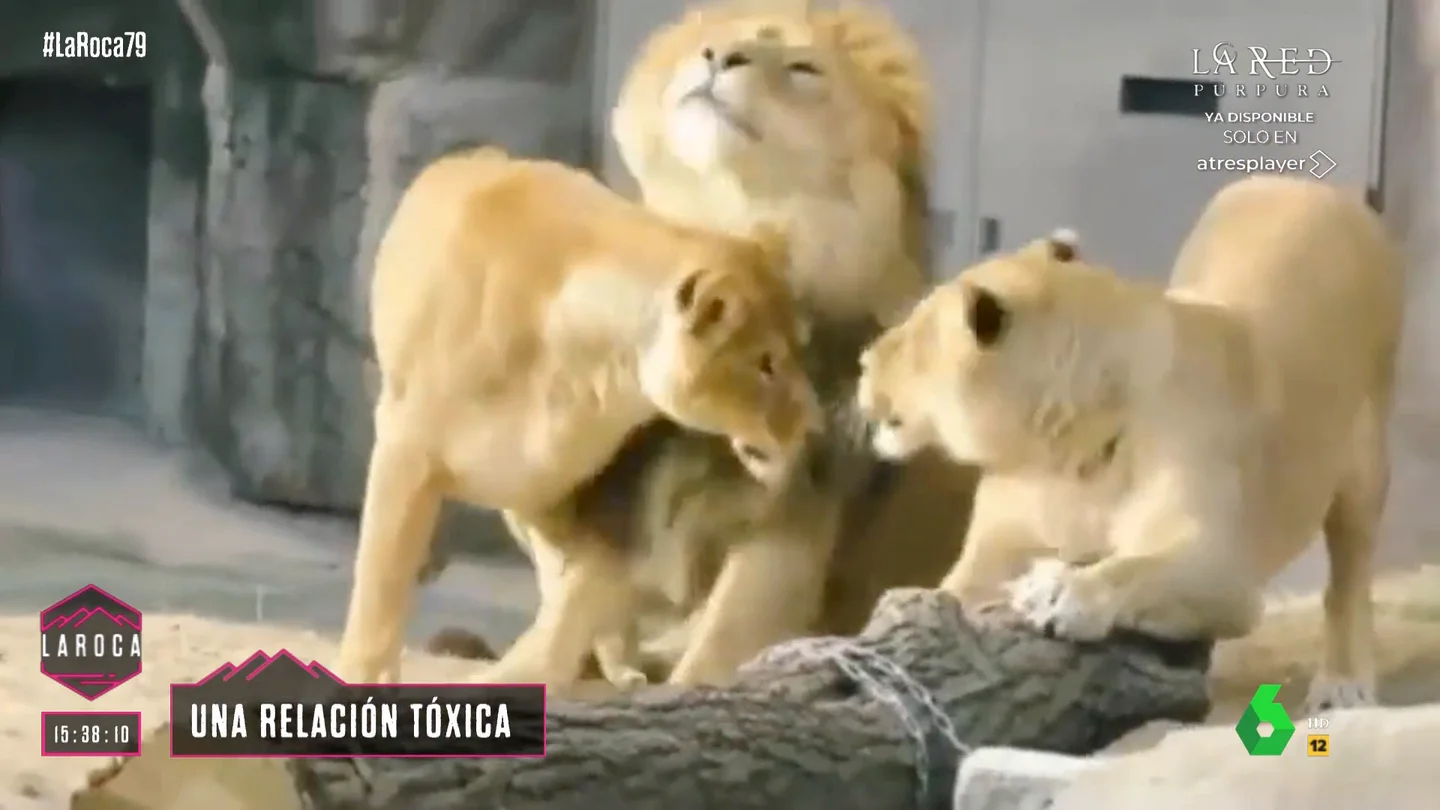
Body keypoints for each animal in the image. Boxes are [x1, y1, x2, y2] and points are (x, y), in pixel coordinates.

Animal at [334, 146, 820, 685]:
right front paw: (364, 675)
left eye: (800, 351)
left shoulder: (571, 493)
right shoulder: (405, 450)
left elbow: (577, 597)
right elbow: (380, 580)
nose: (813, 424)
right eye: (765, 364)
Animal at [855, 175, 1404, 713]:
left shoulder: (1226, 569)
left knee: (1350, 576)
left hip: (1364, 455)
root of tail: (1309, 185)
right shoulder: (996, 546)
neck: (1058, 450)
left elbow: (1138, 568)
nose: (862, 362)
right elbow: (945, 594)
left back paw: (1344, 684)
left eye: (910, 337)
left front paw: (1060, 590)